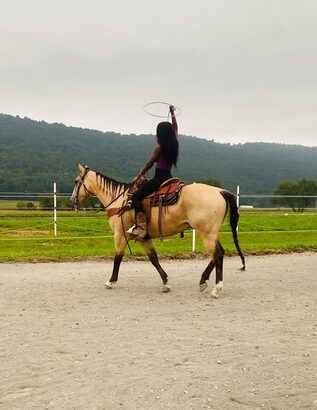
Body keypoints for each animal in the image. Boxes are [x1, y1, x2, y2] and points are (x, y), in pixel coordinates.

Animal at [69, 163, 244, 298]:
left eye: (76, 181)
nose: (71, 201)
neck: (121, 201)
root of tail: (219, 191)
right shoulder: (144, 238)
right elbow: (154, 259)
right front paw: (165, 283)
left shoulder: (120, 235)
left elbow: (117, 258)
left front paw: (110, 281)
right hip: (210, 233)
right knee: (219, 253)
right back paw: (203, 281)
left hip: (206, 233)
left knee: (217, 255)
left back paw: (216, 288)